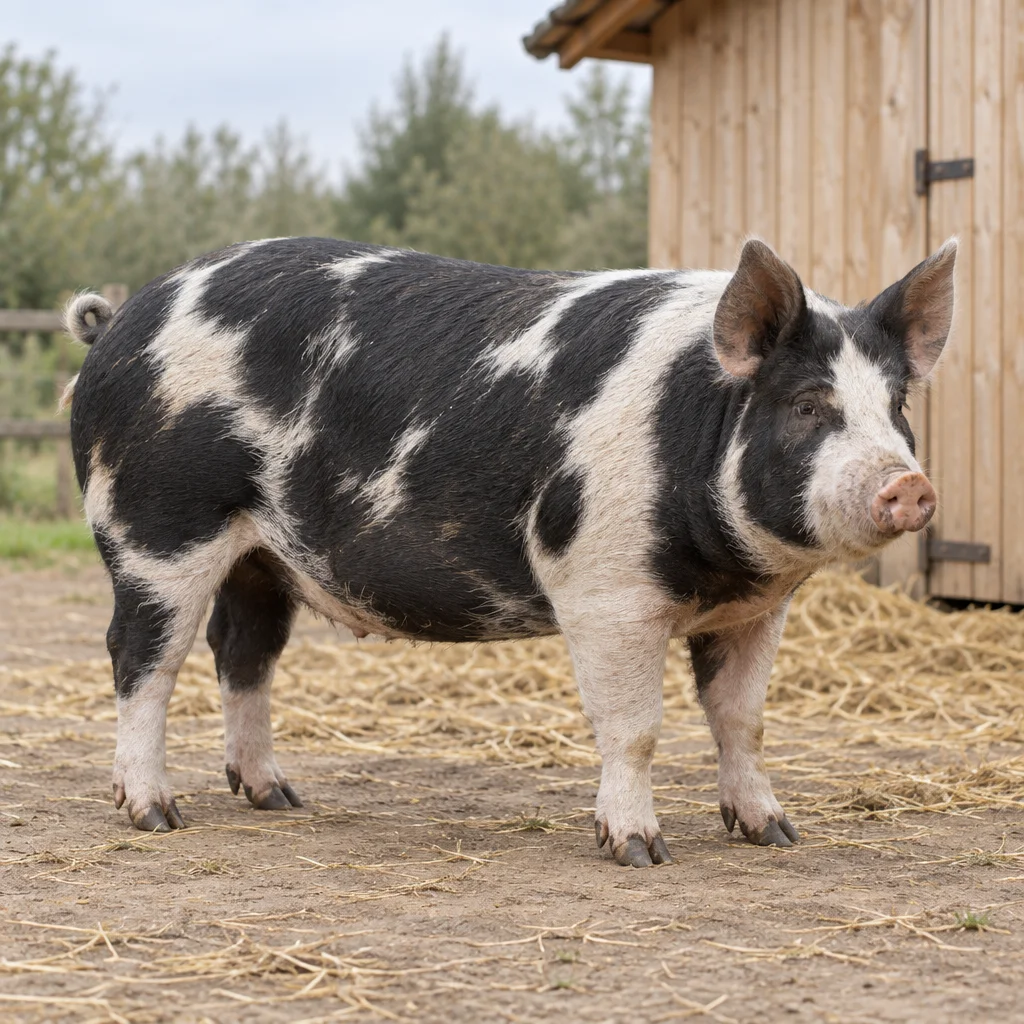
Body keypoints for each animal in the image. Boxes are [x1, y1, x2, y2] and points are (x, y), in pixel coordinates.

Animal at [62, 235, 956, 866]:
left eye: (897, 406)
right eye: (807, 405)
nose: (910, 486)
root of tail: (117, 326)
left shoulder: (755, 610)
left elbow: (743, 720)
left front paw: (774, 833)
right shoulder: (604, 589)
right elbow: (635, 727)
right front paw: (639, 851)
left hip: (261, 557)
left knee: (242, 652)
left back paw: (278, 798)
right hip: (156, 525)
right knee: (141, 658)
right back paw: (156, 815)